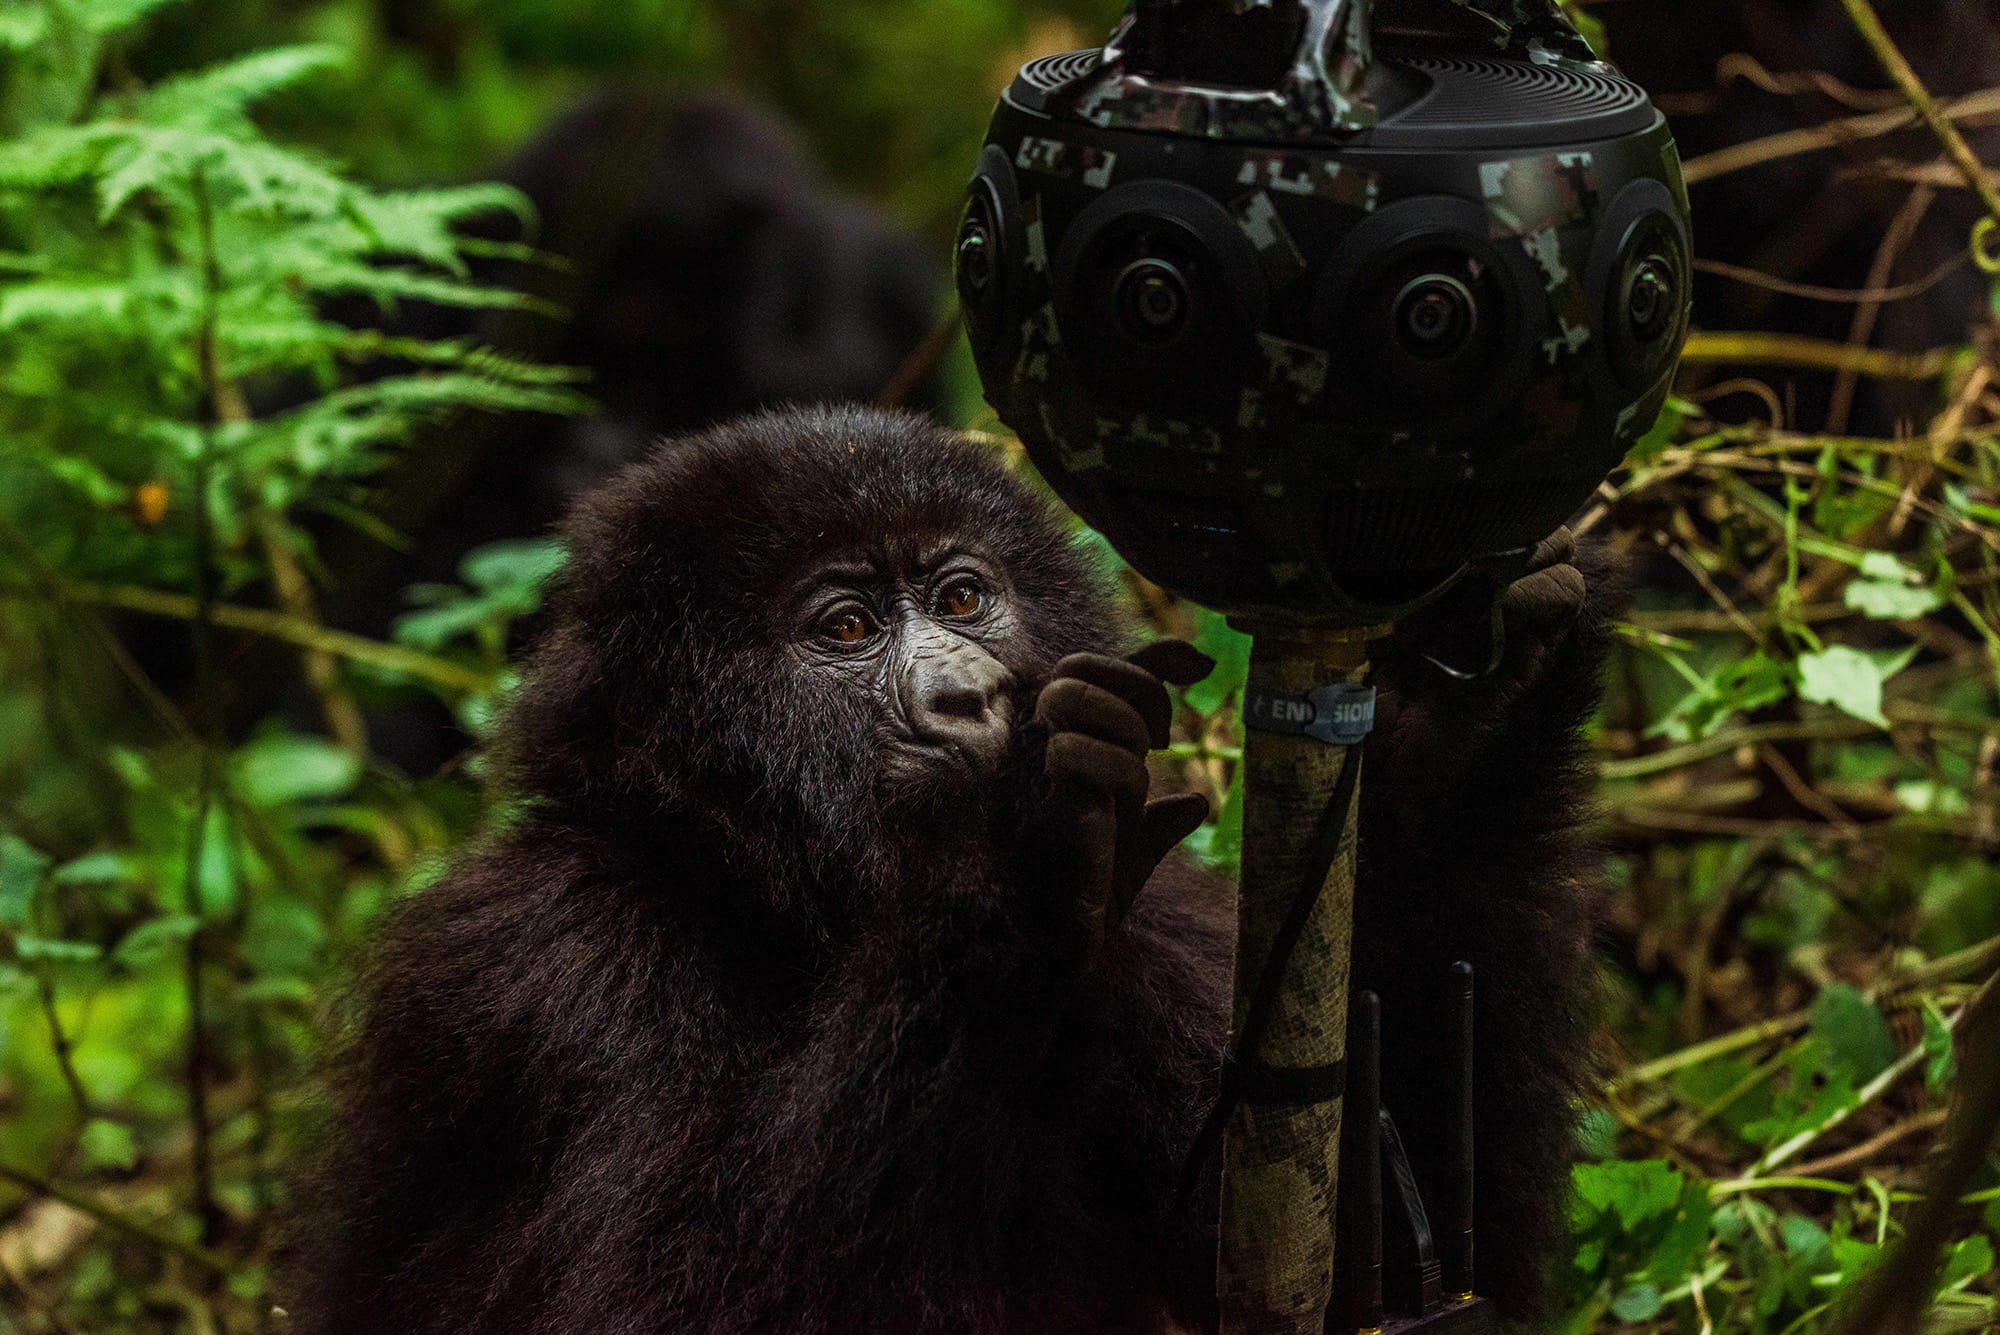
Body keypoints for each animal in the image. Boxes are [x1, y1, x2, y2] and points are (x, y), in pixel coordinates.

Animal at [288, 404, 1611, 1334]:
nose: (972, 697)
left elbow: (1367, 1274)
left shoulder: (1170, 944)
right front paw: (1024, 858)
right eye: (845, 630)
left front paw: (1470, 707)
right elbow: (649, 1305)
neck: (770, 900)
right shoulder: (546, 965)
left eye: (964, 597)